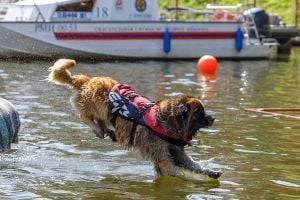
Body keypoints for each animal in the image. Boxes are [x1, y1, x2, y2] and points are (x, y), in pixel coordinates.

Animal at [49, 58, 221, 179]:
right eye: (199, 112)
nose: (213, 118)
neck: (168, 121)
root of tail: (87, 80)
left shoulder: (177, 152)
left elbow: (193, 164)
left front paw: (210, 171)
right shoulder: (163, 158)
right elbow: (175, 169)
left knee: (102, 122)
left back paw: (108, 132)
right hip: (95, 104)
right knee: (85, 116)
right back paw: (98, 129)